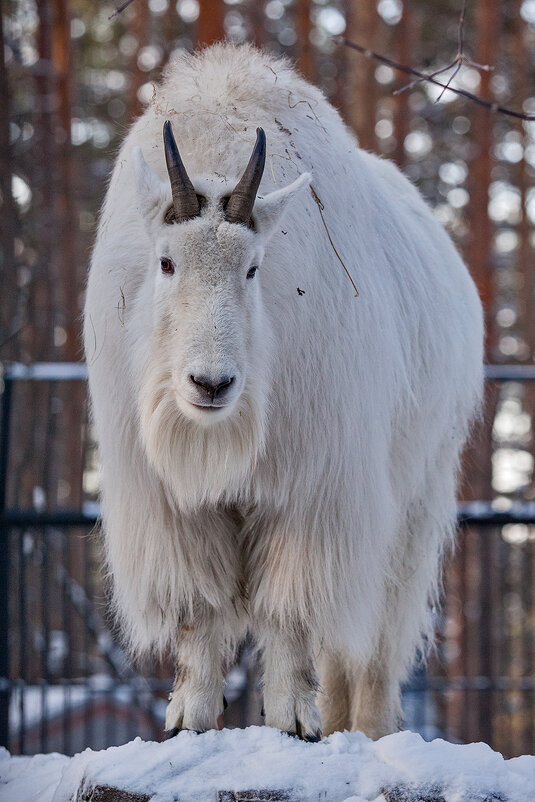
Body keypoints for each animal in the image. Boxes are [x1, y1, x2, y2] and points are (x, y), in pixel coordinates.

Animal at [85, 40, 486, 736]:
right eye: (165, 262)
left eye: (254, 267)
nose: (211, 383)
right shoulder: (170, 506)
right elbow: (201, 613)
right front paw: (189, 719)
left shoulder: (310, 491)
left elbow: (290, 612)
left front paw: (294, 721)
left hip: (414, 501)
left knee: (375, 643)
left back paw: (366, 728)